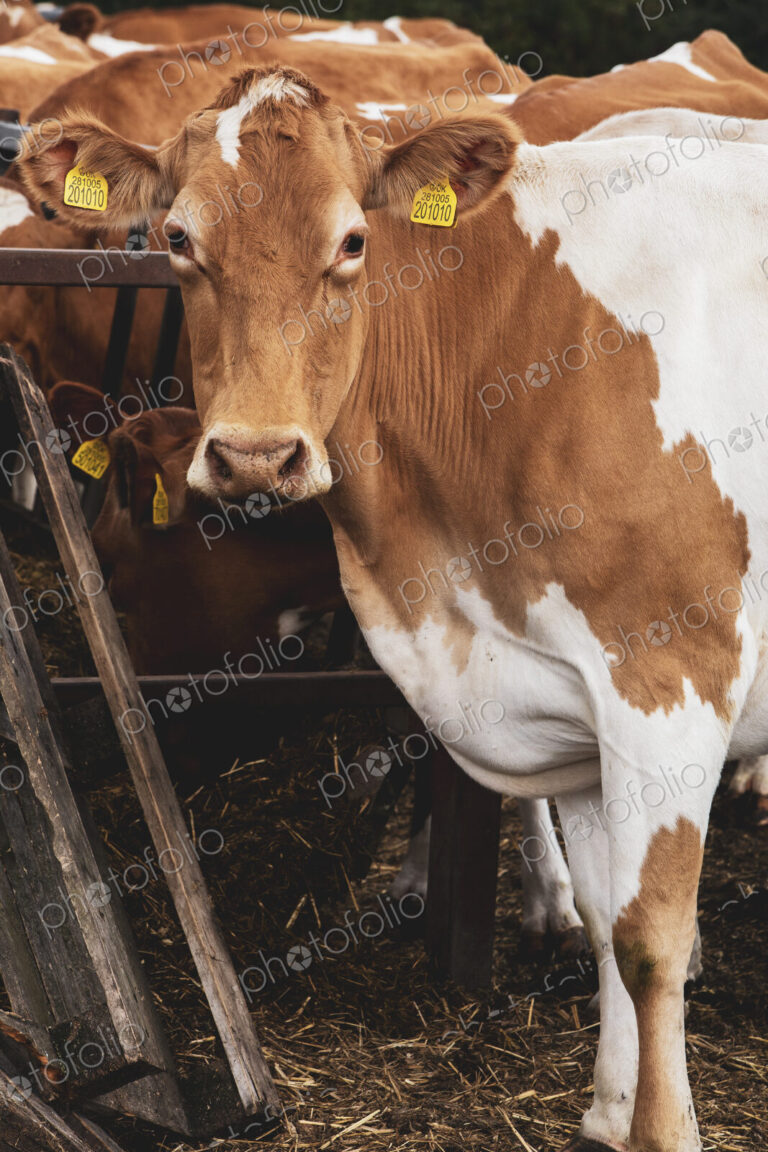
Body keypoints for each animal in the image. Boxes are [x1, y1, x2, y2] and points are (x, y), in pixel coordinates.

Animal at [24, 61, 768, 1150]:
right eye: (178, 239)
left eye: (352, 241)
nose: (256, 455)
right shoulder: (566, 696)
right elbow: (601, 918)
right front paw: (606, 1111)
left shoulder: (669, 674)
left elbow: (648, 943)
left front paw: (661, 1127)